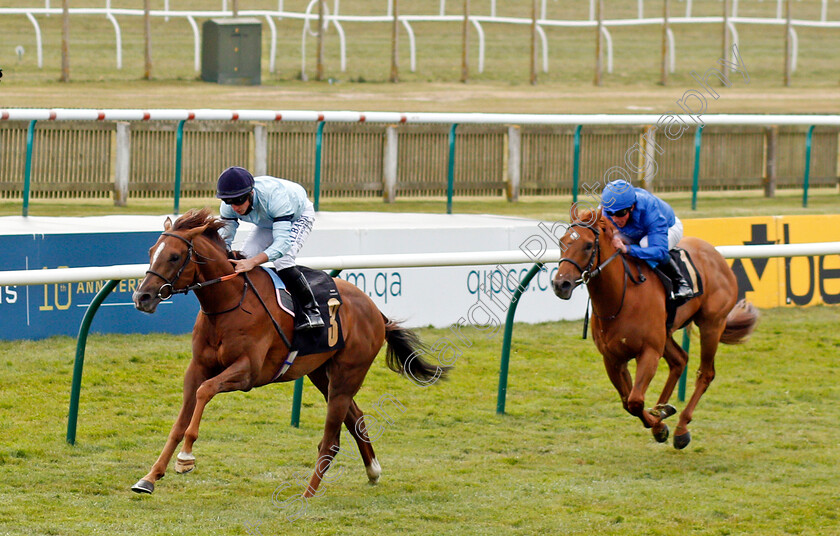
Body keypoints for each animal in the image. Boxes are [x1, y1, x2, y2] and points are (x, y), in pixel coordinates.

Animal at [130, 209, 446, 494]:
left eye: (174, 256)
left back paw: (308, 493)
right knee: (355, 416)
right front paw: (150, 477)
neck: (228, 303)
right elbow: (181, 420)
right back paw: (373, 471)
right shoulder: (197, 367)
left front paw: (186, 458)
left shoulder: (248, 372)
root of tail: (375, 309)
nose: (142, 296)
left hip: (348, 373)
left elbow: (205, 392)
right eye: (151, 251)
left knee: (331, 438)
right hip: (321, 373)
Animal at [556, 208, 756, 448]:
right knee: (679, 360)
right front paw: (659, 423)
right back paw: (662, 409)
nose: (560, 284)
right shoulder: (612, 358)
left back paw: (681, 429)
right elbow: (628, 401)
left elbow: (635, 400)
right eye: (561, 241)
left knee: (706, 373)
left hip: (711, 324)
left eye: (587, 245)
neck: (620, 298)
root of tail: (715, 254)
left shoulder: (649, 351)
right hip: (666, 333)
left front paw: (661, 425)